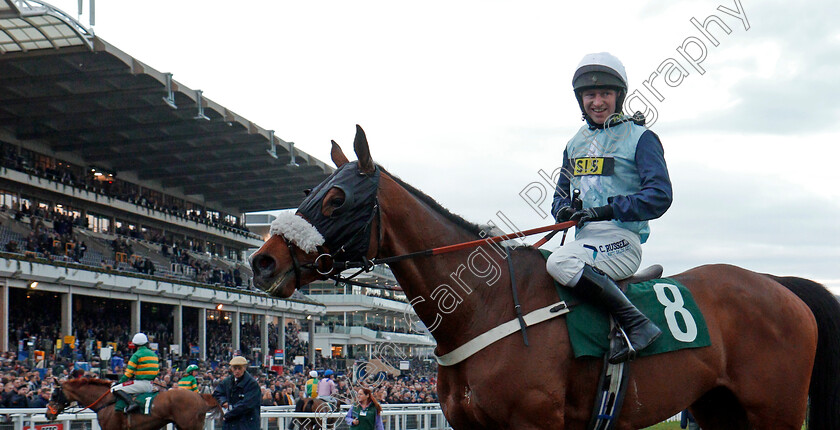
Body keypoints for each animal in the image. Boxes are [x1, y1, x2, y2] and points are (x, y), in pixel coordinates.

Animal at [249, 125, 840, 430]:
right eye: (309, 191)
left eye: (335, 199)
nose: (262, 262)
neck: (482, 305)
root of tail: (783, 285)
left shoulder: (535, 425)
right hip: (719, 408)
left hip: (776, 409)